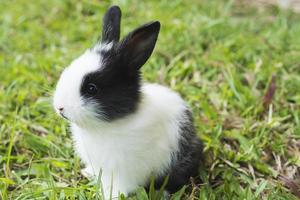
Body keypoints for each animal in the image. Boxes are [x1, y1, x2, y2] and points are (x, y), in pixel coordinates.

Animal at [53, 5, 204, 198]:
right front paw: (88, 174)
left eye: (92, 89)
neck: (106, 125)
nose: (60, 107)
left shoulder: (123, 172)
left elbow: (120, 186)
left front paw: (111, 196)